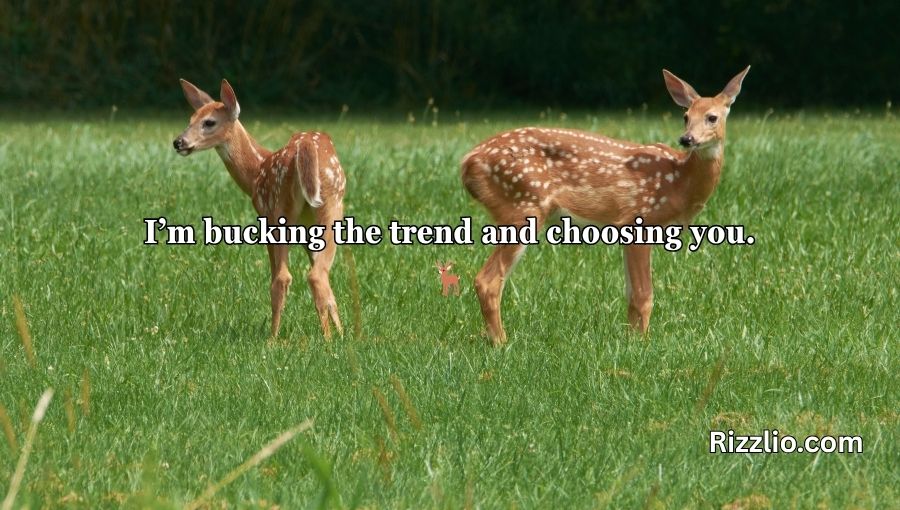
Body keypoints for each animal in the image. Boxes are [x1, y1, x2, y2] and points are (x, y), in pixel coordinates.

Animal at [173, 79, 345, 339]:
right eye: (190, 118)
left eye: (209, 122)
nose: (178, 142)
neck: (256, 170)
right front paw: (341, 332)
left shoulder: (265, 214)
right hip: (330, 206)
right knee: (319, 274)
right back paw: (336, 337)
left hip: (280, 208)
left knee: (284, 278)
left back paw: (274, 339)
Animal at [461, 66, 750, 346]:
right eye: (686, 116)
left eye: (712, 117)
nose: (687, 139)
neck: (678, 181)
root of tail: (468, 162)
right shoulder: (639, 219)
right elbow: (644, 296)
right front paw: (643, 345)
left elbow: (631, 295)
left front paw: (631, 340)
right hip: (523, 205)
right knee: (487, 281)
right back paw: (501, 343)